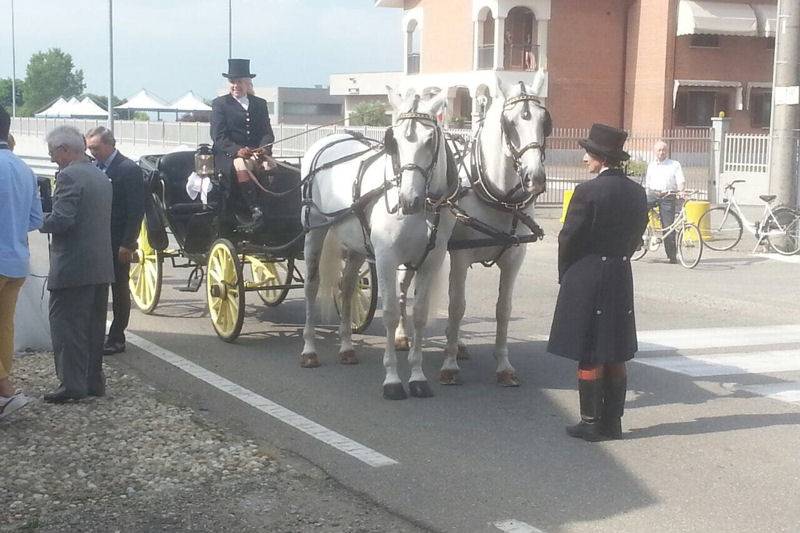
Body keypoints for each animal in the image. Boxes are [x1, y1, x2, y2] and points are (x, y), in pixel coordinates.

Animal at [300, 88, 456, 400]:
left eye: (430, 139)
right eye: (393, 140)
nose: (409, 200)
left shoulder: (430, 261)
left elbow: (419, 314)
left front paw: (418, 377)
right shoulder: (385, 259)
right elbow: (391, 314)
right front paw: (393, 379)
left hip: (357, 246)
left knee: (347, 287)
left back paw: (347, 347)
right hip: (315, 232)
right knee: (312, 285)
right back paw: (309, 350)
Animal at [396, 78, 552, 386]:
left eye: (545, 121)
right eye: (510, 123)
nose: (535, 178)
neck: (499, 196)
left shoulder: (514, 259)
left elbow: (503, 309)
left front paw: (503, 365)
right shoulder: (460, 258)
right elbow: (457, 306)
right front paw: (449, 365)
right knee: (401, 287)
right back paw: (402, 335)